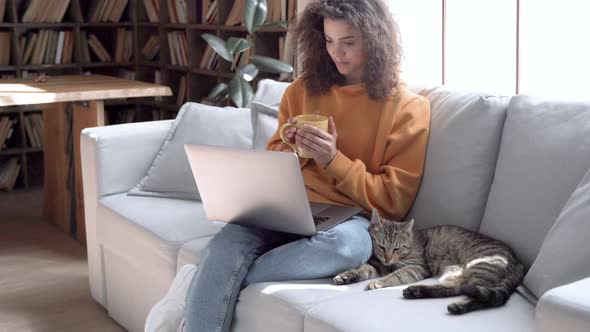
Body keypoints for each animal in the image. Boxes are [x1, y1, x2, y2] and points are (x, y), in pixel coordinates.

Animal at [336, 210, 524, 314]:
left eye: (396, 248)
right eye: (381, 246)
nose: (388, 258)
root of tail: (519, 262)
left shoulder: (417, 267)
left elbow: (397, 274)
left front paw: (379, 282)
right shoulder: (380, 265)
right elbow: (363, 269)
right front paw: (347, 276)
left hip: (479, 267)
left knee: (478, 295)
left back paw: (456, 305)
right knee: (455, 288)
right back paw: (417, 292)